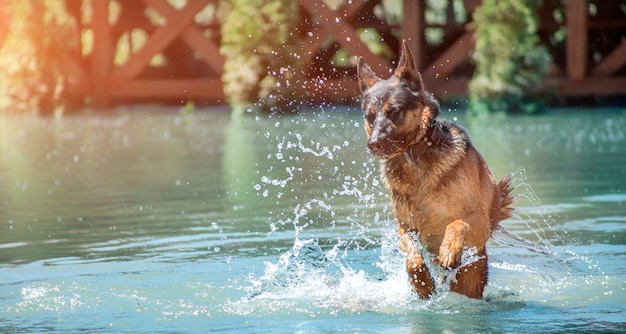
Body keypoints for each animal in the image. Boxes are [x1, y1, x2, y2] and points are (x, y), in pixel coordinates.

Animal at [356, 40, 512, 298]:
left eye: (394, 111)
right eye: (369, 116)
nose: (373, 144)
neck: (415, 158)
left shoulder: (479, 221)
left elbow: (456, 223)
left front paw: (448, 250)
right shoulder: (405, 229)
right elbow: (412, 255)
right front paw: (421, 280)